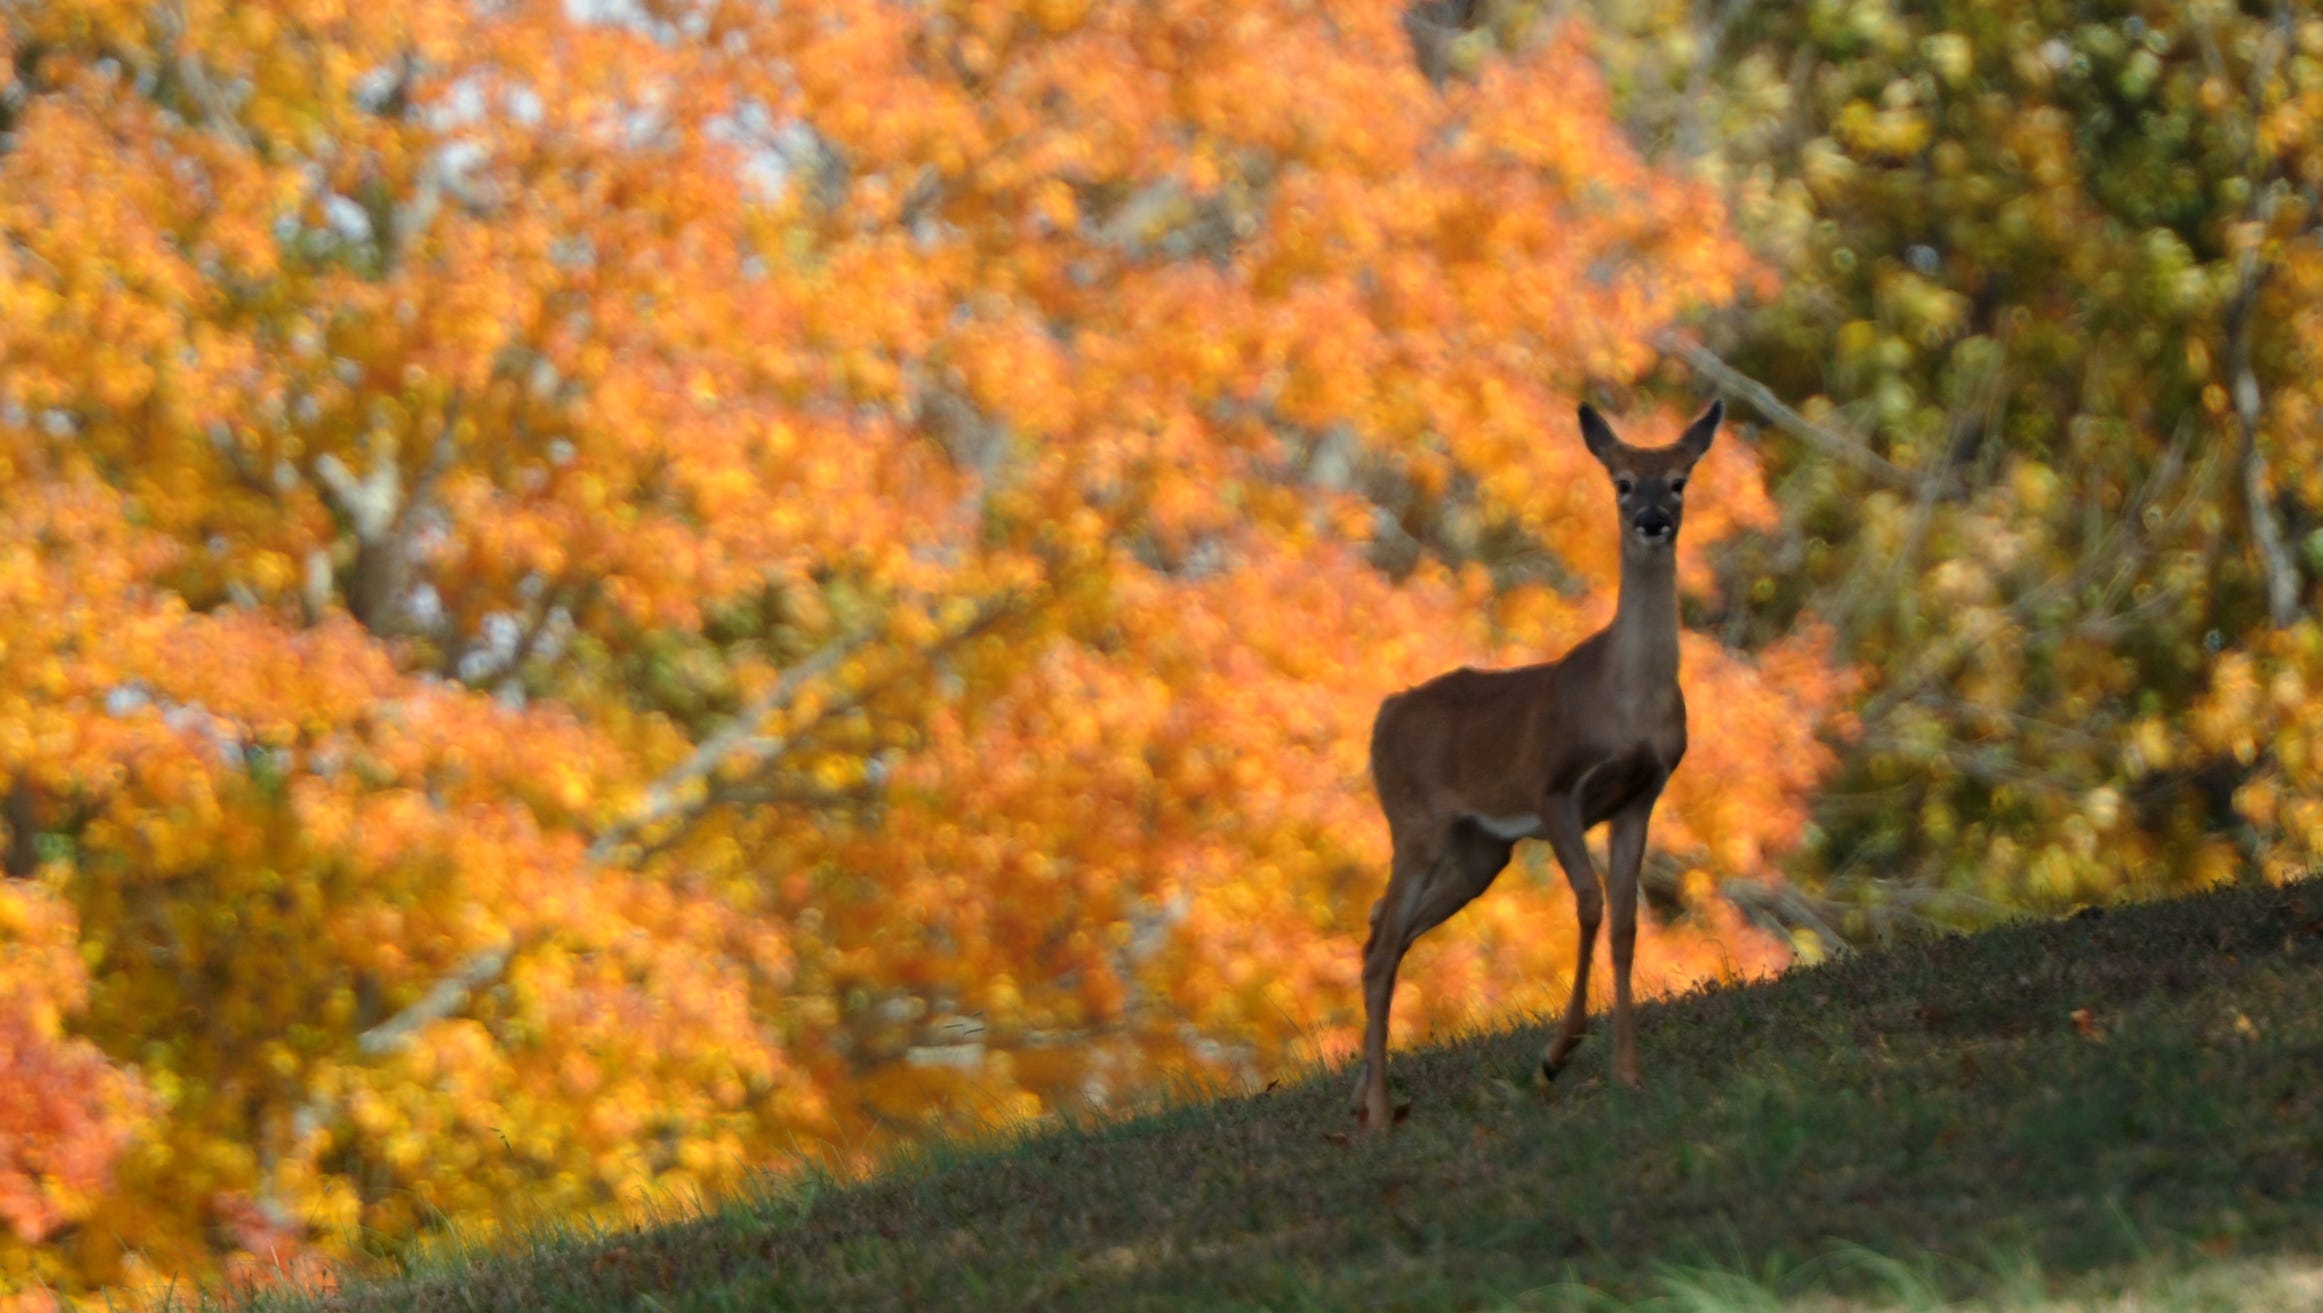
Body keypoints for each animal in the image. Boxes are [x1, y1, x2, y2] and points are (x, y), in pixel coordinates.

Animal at [1352, 398, 1723, 1132]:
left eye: (1678, 481)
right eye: (1620, 482)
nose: (1652, 520)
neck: (1625, 698)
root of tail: (1385, 710)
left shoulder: (1642, 794)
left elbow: (1625, 923)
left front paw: (1627, 1072)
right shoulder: (1554, 790)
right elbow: (1588, 902)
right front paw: (1557, 1052)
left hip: (1478, 853)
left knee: (1384, 928)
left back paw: (1362, 1095)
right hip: (1415, 820)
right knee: (1380, 949)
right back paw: (1379, 1113)